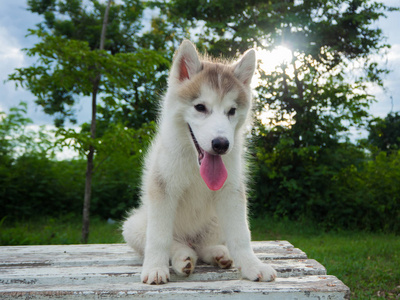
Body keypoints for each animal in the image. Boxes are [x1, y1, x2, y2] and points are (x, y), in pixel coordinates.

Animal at [123, 39, 276, 284]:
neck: (196, 165)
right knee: (175, 243)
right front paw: (155, 268)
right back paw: (183, 257)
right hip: (133, 225)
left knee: (203, 245)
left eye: (232, 111)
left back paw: (218, 254)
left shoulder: (231, 192)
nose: (221, 144)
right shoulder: (162, 188)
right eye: (200, 107)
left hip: (215, 221)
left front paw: (253, 265)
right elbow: (159, 238)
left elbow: (241, 235)